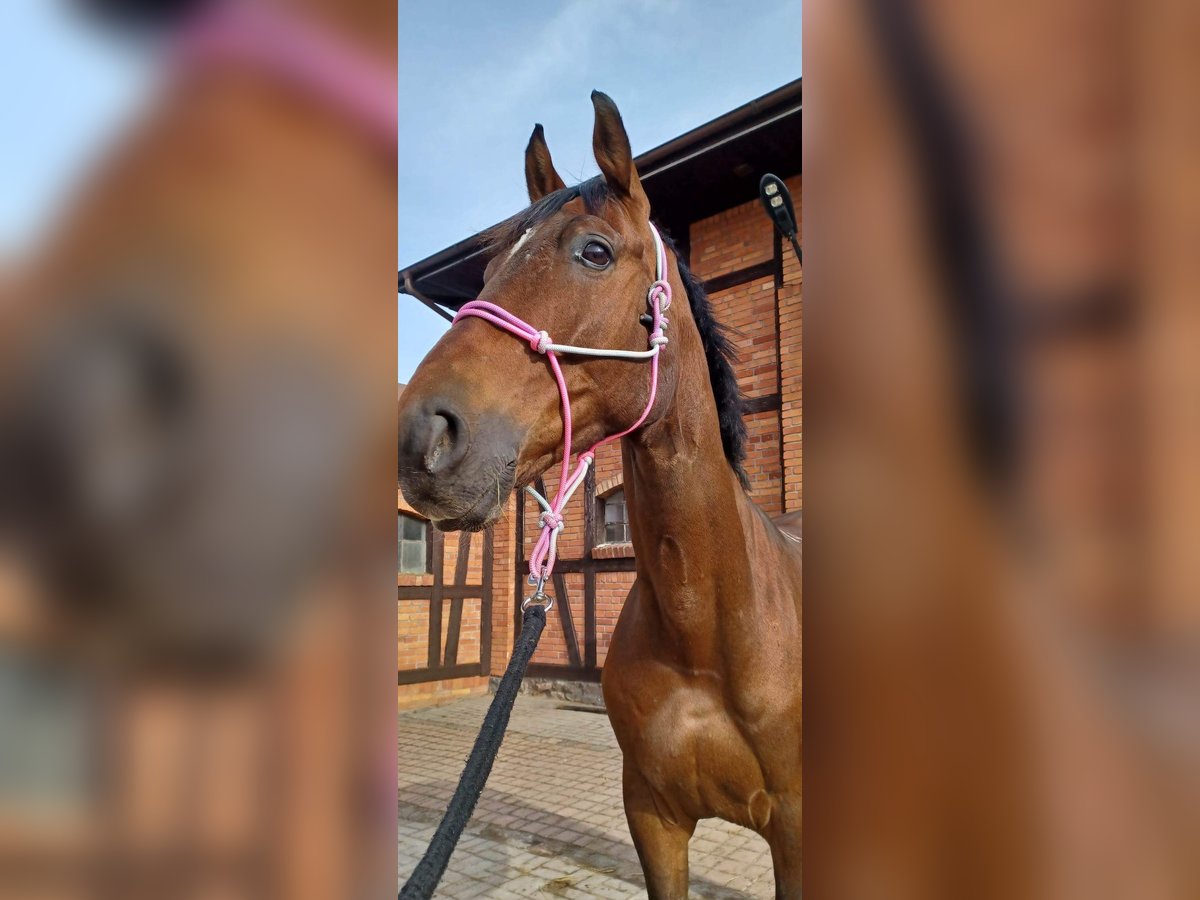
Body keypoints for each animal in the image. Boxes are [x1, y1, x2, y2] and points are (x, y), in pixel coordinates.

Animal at [397, 91, 802, 899]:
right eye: (488, 268)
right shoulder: (653, 817)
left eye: (594, 251)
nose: (421, 435)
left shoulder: (800, 837)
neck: (707, 633)